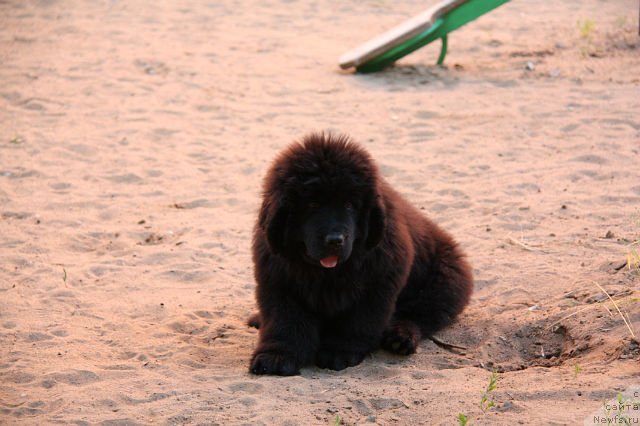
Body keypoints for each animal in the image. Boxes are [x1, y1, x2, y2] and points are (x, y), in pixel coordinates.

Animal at [250, 133, 476, 376]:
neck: (327, 272)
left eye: (349, 205)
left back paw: (400, 337)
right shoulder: (280, 282)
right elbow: (285, 322)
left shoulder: (376, 283)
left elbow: (357, 320)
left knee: (419, 314)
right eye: (312, 204)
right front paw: (277, 356)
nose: (335, 240)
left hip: (444, 281)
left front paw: (339, 352)